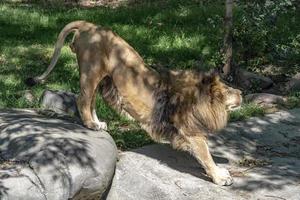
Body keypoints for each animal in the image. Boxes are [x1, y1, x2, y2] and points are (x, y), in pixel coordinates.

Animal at [27, 20, 243, 186]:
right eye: (228, 90)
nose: (241, 92)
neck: (201, 102)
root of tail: (90, 25)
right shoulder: (191, 131)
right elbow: (206, 154)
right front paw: (220, 176)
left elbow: (202, 155)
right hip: (91, 72)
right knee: (82, 100)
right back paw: (90, 124)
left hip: (103, 78)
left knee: (91, 101)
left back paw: (98, 123)